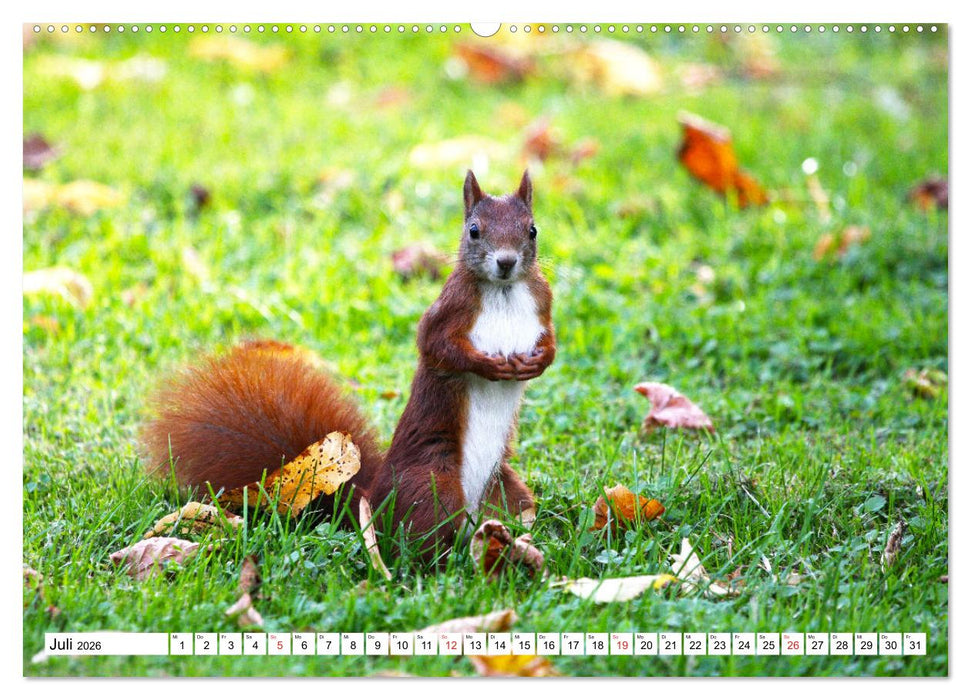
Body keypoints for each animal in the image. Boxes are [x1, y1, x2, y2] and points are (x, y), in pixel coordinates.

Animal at [141, 170, 555, 561]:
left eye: (533, 229)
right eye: (473, 231)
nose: (506, 262)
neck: (503, 291)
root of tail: (374, 503)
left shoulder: (543, 302)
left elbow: (551, 341)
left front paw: (538, 362)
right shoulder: (448, 310)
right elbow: (435, 346)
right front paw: (490, 366)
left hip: (506, 491)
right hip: (432, 487)